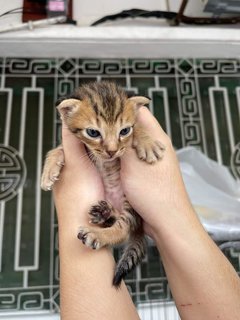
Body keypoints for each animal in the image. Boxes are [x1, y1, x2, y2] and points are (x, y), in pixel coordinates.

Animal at [41, 81, 165, 286]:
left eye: (124, 131)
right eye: (93, 132)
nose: (112, 151)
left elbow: (137, 128)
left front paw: (147, 142)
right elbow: (57, 149)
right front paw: (48, 172)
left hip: (131, 203)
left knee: (124, 229)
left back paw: (97, 234)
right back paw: (105, 213)